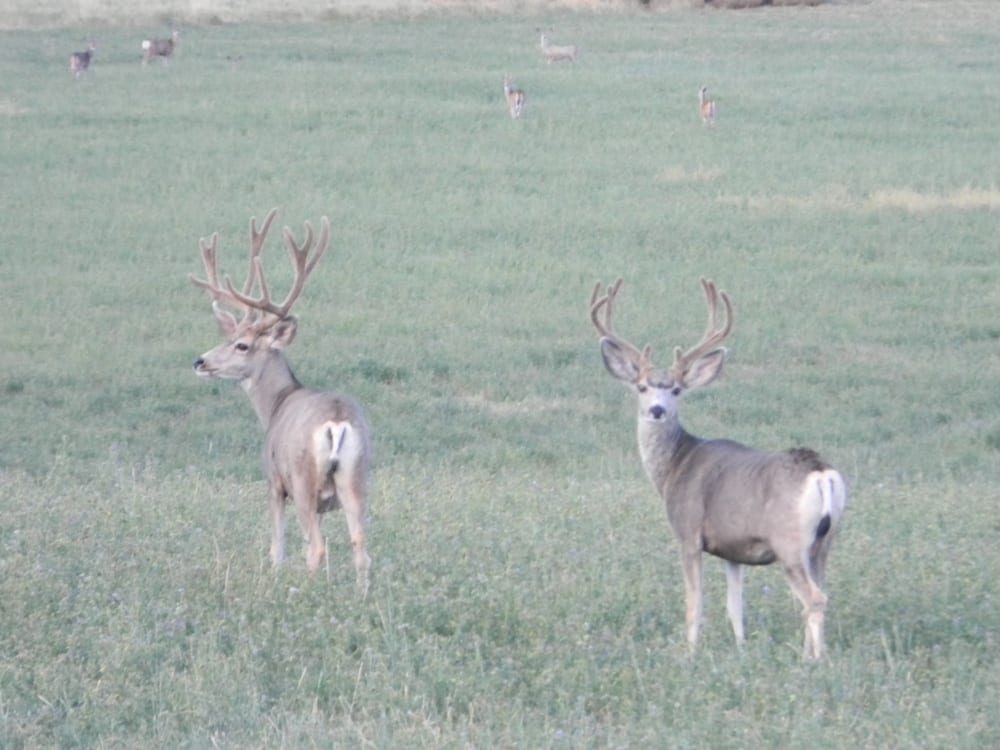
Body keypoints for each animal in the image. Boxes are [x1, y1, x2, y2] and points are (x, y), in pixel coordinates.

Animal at [190, 208, 372, 594]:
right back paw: (363, 597)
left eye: (242, 344)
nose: (200, 361)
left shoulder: (273, 482)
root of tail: (336, 421)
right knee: (361, 547)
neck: (275, 405)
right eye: (228, 336)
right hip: (357, 476)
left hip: (303, 480)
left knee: (316, 548)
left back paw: (301, 594)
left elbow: (278, 546)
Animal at [590, 278, 847, 661]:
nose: (656, 410)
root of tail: (820, 472)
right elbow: (734, 606)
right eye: (642, 386)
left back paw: (812, 660)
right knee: (819, 594)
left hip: (790, 542)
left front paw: (690, 652)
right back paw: (813, 653)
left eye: (676, 389)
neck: (675, 467)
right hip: (824, 542)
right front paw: (740, 649)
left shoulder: (688, 533)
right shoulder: (733, 549)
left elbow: (694, 603)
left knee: (814, 599)